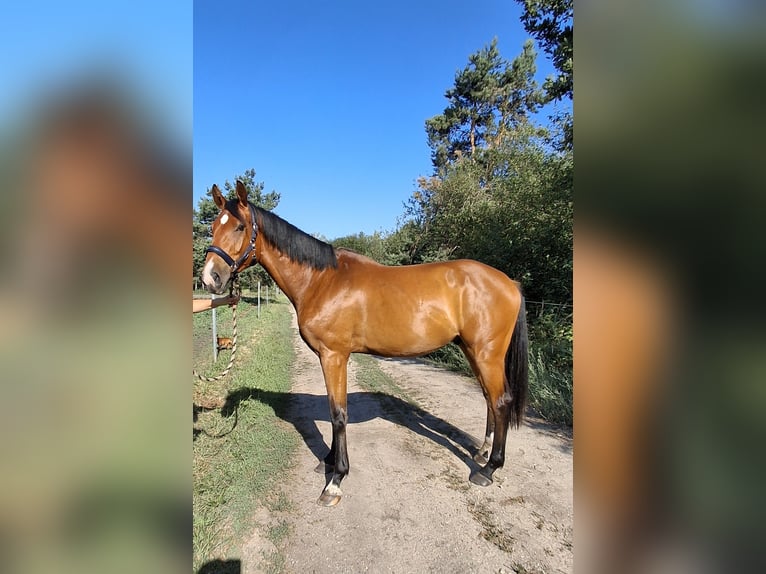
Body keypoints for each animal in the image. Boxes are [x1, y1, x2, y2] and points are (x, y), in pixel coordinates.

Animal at [200, 180, 528, 506]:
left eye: (240, 227)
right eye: (214, 226)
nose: (210, 278)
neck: (321, 281)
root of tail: (510, 283)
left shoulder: (334, 355)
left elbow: (338, 414)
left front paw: (336, 480)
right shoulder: (331, 357)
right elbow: (334, 410)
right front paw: (329, 460)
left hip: (486, 354)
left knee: (501, 401)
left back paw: (488, 469)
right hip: (473, 351)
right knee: (489, 399)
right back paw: (481, 453)